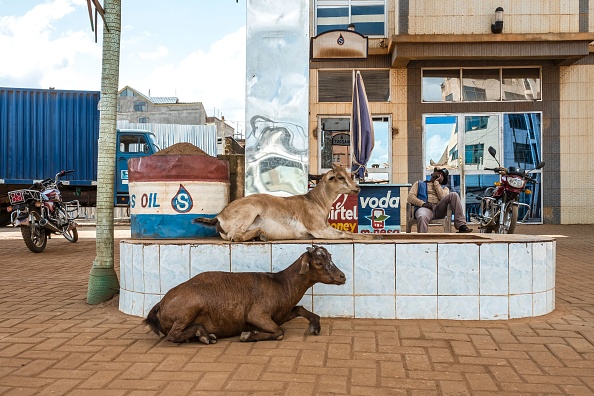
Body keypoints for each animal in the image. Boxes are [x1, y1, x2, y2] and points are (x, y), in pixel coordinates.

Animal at [192, 164, 372, 241]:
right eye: (340, 177)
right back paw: (261, 233)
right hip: (250, 211)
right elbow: (347, 233)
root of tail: (219, 216)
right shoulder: (319, 230)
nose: (357, 188)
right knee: (235, 236)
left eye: (350, 175)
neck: (315, 202)